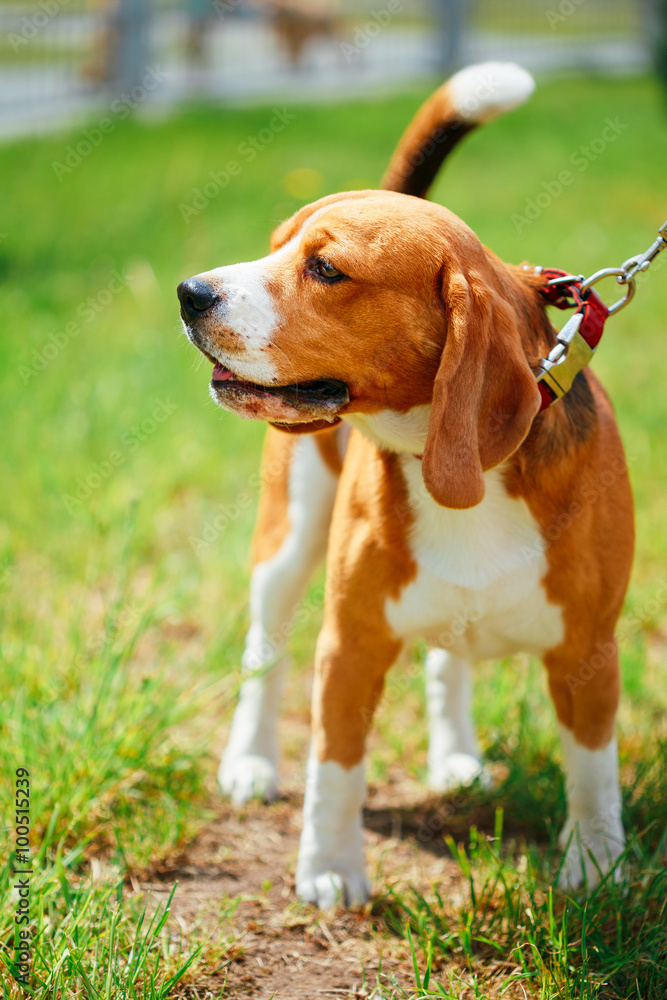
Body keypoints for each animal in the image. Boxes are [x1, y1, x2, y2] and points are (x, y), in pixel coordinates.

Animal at [179, 62, 636, 908]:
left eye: (326, 269)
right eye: (273, 248)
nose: (189, 293)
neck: (455, 468)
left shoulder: (589, 650)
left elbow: (592, 772)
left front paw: (594, 866)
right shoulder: (350, 644)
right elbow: (335, 769)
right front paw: (329, 869)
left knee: (446, 658)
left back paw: (455, 757)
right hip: (287, 542)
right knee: (265, 653)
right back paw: (250, 762)